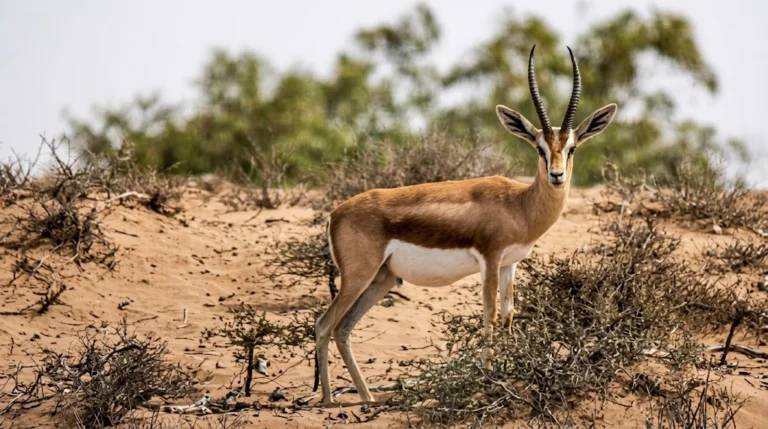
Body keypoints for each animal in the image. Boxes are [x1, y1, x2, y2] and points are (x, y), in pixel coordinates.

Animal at [315, 45, 618, 406]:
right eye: (539, 148)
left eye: (571, 148)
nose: (557, 175)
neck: (519, 206)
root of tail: (336, 214)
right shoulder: (490, 259)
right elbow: (489, 315)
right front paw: (487, 380)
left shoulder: (510, 264)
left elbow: (508, 314)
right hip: (359, 276)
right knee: (324, 324)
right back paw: (328, 400)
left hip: (382, 279)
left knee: (343, 328)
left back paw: (366, 399)